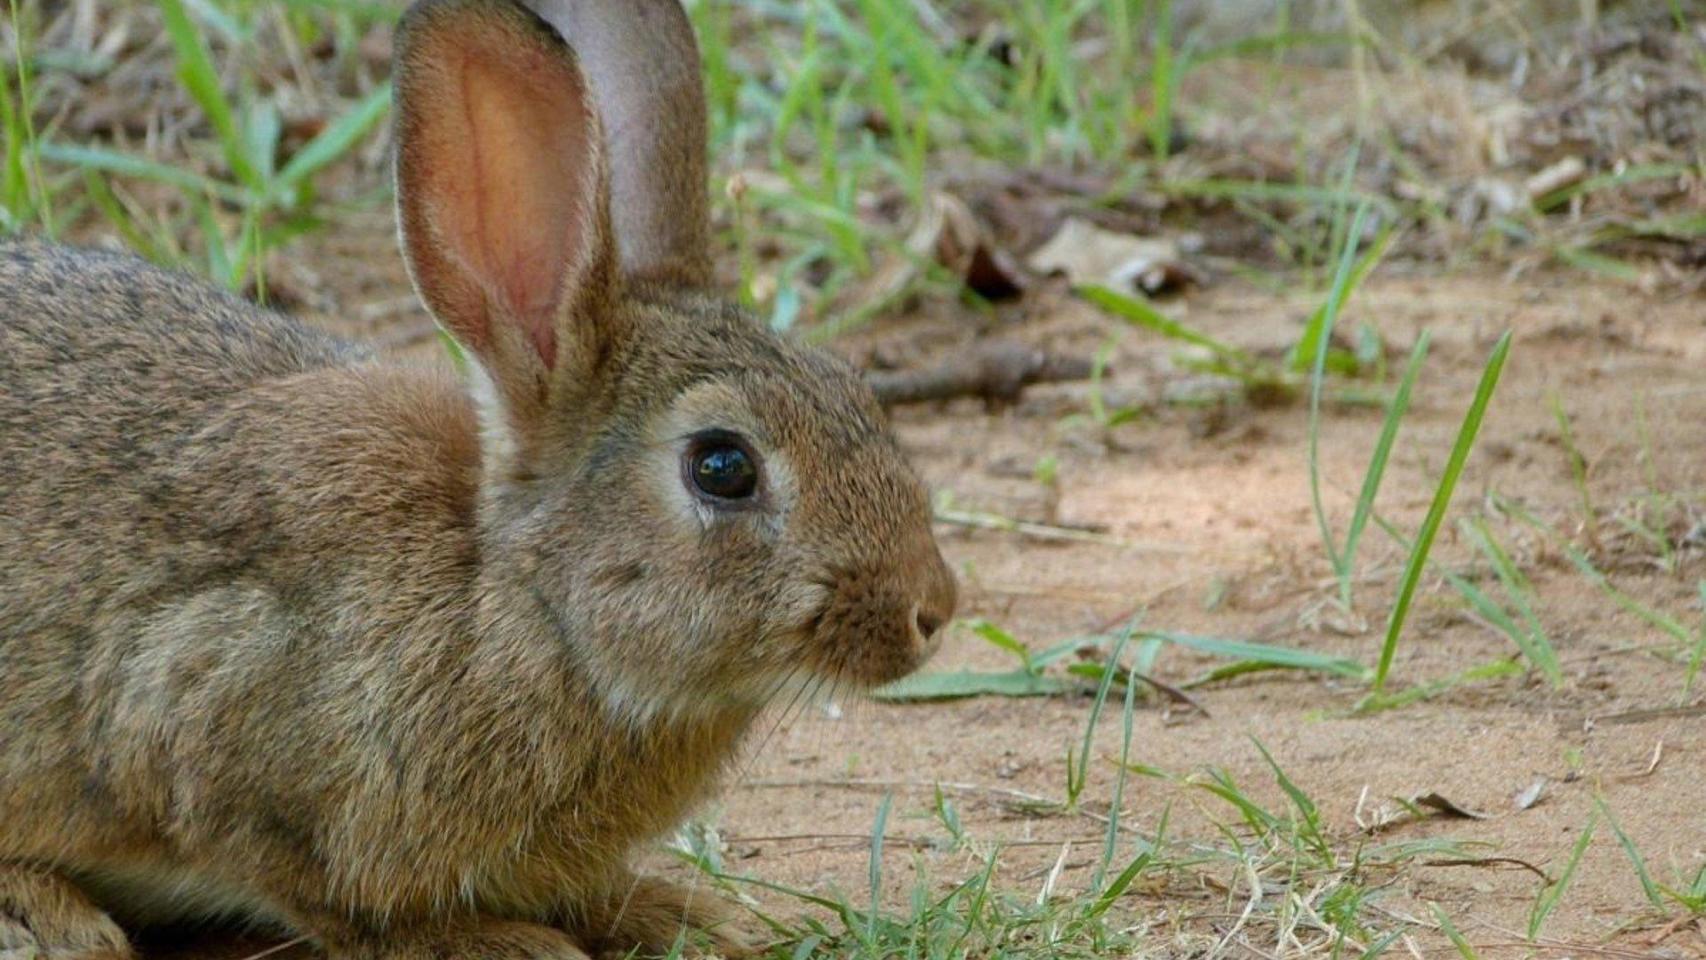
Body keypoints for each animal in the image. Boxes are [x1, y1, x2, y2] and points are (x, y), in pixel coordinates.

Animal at [0, 0, 958, 955]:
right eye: (722, 467)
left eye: (851, 386)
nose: (933, 609)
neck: (521, 601)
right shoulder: (195, 705)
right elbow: (326, 897)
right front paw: (502, 941)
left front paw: (681, 914)